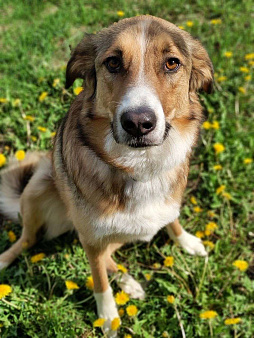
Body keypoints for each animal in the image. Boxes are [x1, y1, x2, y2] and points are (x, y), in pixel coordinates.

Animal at [0, 15, 213, 336]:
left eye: (172, 63)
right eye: (112, 62)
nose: (138, 123)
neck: (138, 166)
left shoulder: (166, 204)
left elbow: (172, 218)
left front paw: (186, 240)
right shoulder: (91, 238)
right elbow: (99, 280)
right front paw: (109, 316)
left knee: (110, 255)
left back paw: (129, 282)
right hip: (38, 187)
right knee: (27, 240)